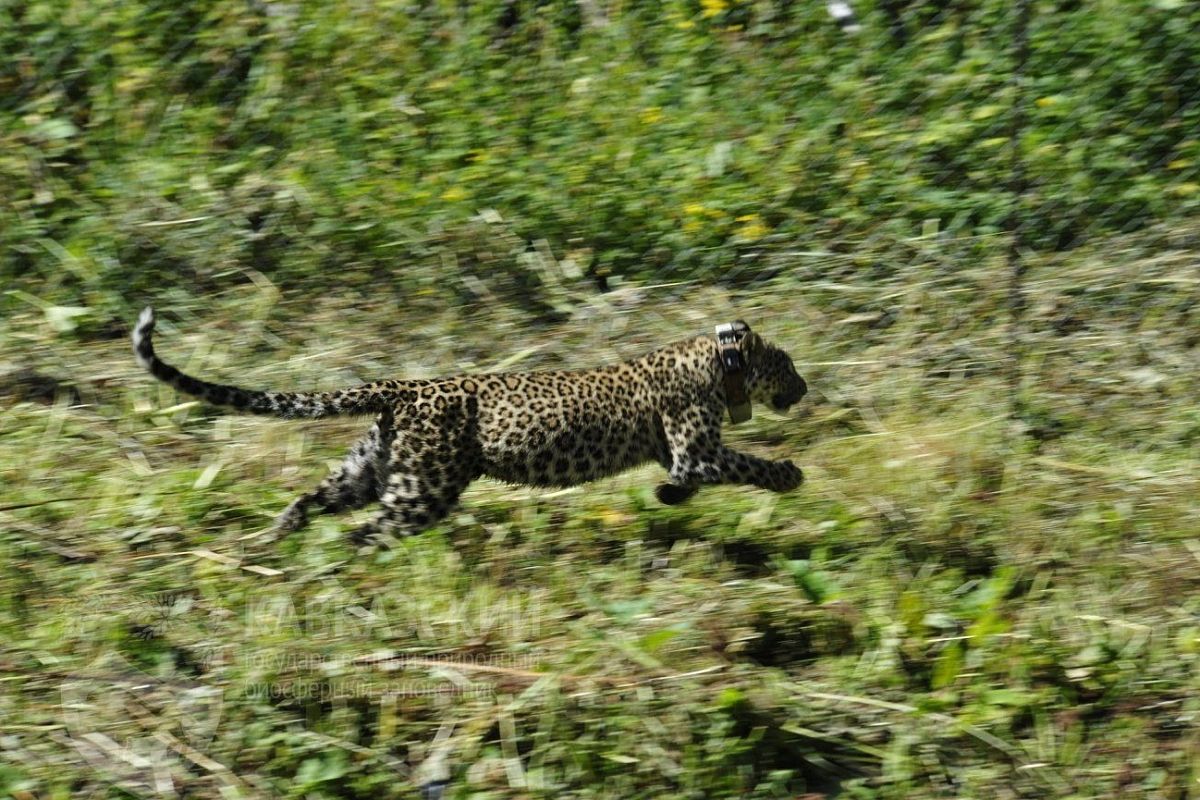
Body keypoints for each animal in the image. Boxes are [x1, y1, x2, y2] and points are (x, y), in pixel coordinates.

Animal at [131, 309, 806, 546]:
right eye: (790, 365)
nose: (803, 390)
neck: (722, 362)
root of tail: (407, 386)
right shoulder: (699, 450)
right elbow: (743, 465)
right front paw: (790, 475)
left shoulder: (685, 456)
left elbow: (686, 479)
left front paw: (667, 496)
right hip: (422, 489)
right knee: (368, 533)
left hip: (374, 467)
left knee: (310, 499)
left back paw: (274, 543)